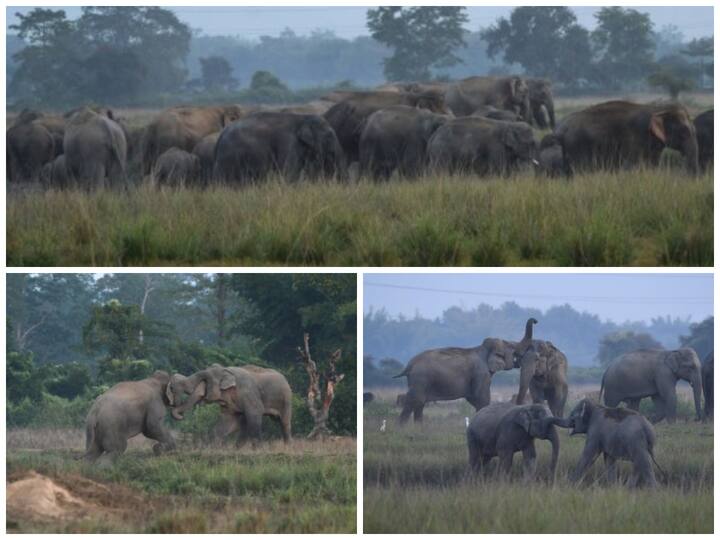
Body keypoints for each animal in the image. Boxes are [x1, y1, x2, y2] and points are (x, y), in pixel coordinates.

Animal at [214, 111, 346, 184]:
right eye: (329, 136)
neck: (303, 117)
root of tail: (220, 137)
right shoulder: (287, 142)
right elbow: (289, 174)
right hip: (228, 158)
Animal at [390, 338, 520, 422]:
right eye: (512, 348)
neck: (482, 348)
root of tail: (409, 364)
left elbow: (472, 397)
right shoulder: (480, 372)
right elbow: (480, 397)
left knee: (420, 403)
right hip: (420, 379)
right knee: (415, 400)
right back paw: (401, 429)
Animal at [556, 100, 696, 175]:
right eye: (684, 131)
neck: (658, 109)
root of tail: (562, 127)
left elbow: (652, 165)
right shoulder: (636, 139)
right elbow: (632, 166)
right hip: (578, 145)